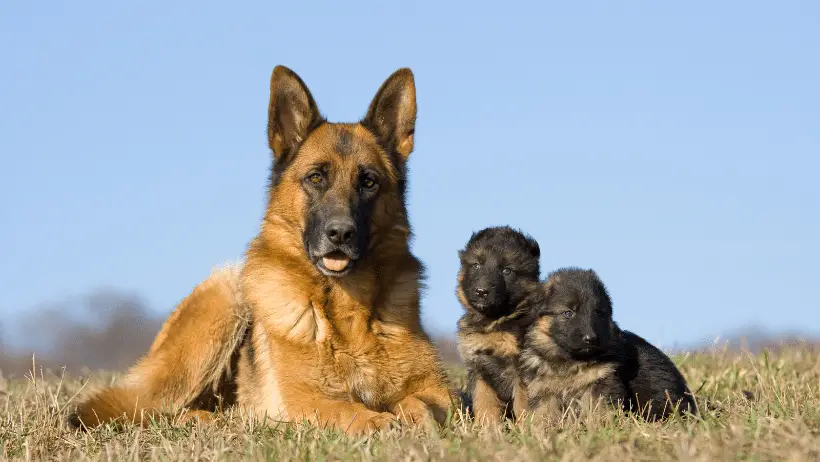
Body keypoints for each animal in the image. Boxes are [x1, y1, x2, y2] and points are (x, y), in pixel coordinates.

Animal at [68, 65, 454, 434]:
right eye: (316, 178)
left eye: (369, 182)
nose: (341, 233)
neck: (347, 312)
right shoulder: (305, 399)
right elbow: (346, 409)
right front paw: (377, 421)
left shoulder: (438, 391)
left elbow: (422, 403)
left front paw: (416, 419)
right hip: (223, 298)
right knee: (156, 410)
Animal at [454, 226, 544, 424]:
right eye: (476, 265)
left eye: (507, 270)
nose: (481, 291)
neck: (494, 322)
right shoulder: (479, 368)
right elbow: (484, 402)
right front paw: (487, 428)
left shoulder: (522, 370)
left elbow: (523, 405)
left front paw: (527, 429)